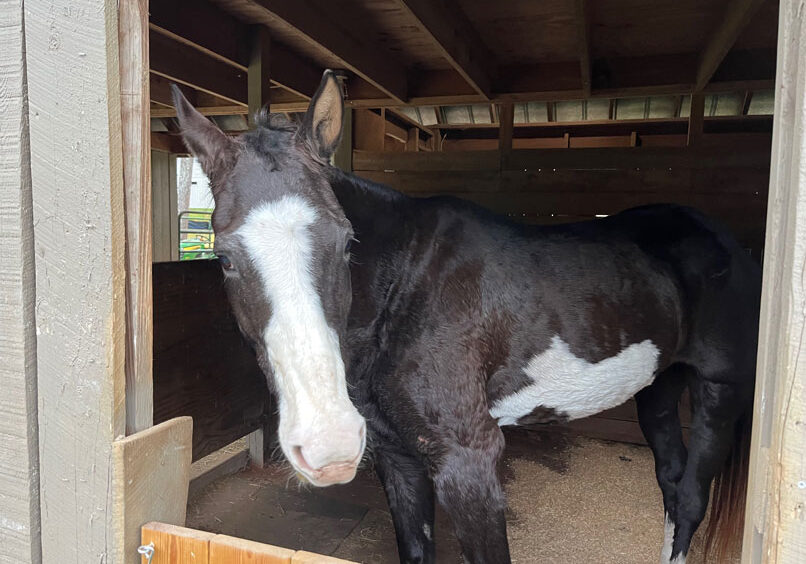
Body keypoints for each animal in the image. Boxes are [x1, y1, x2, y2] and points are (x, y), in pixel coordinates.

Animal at [171, 71, 761, 564]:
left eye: (345, 243)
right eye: (224, 258)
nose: (329, 443)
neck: (407, 288)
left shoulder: (468, 460)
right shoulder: (399, 457)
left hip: (720, 390)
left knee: (690, 498)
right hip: (658, 387)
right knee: (672, 482)